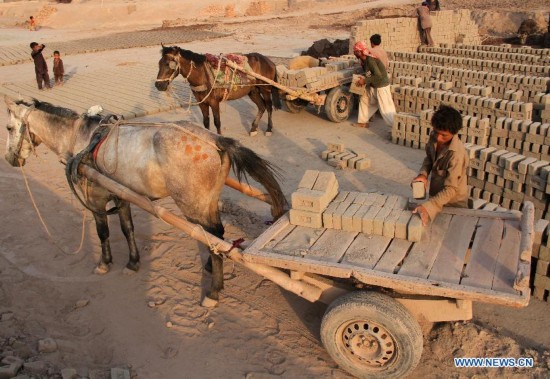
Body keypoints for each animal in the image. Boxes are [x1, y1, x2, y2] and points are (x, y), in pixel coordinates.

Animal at [4, 95, 286, 306]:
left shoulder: (95, 199)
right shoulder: (122, 196)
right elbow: (127, 229)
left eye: (7, 128)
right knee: (216, 237)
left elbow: (103, 232)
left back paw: (214, 292)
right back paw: (209, 264)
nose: (9, 159)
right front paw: (132, 262)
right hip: (207, 202)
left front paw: (104, 263)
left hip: (192, 205)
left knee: (214, 234)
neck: (82, 139)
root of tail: (215, 139)